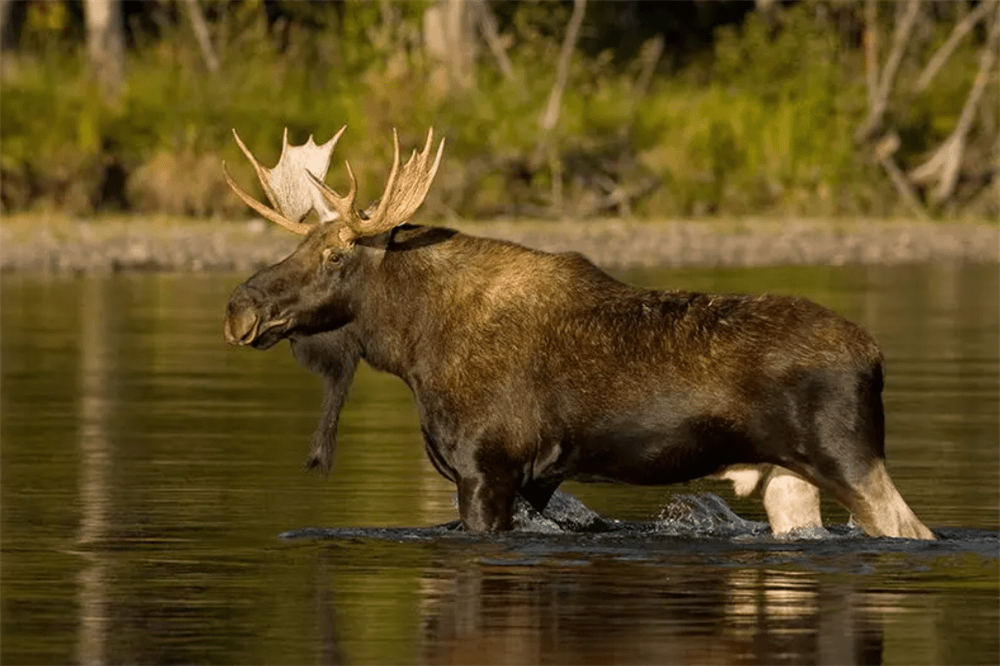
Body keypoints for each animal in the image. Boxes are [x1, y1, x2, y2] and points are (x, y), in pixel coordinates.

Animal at [223, 126, 932, 540]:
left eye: (335, 254)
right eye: (302, 245)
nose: (239, 308)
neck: (415, 350)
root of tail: (877, 357)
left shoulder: (487, 468)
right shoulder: (531, 477)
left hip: (849, 459)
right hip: (790, 477)